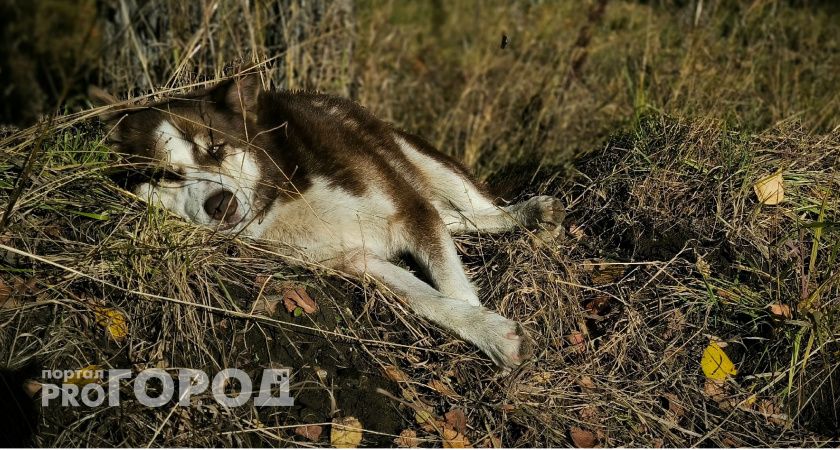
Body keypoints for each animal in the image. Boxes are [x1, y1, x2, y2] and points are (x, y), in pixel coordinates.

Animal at [90, 71, 564, 370]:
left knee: (471, 206)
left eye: (216, 148)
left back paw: (529, 213)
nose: (220, 204)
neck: (285, 194)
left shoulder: (406, 208)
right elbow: (429, 300)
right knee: (451, 217)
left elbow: (453, 284)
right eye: (166, 175)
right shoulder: (354, 260)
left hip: (419, 160)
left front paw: (487, 330)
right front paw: (490, 332)